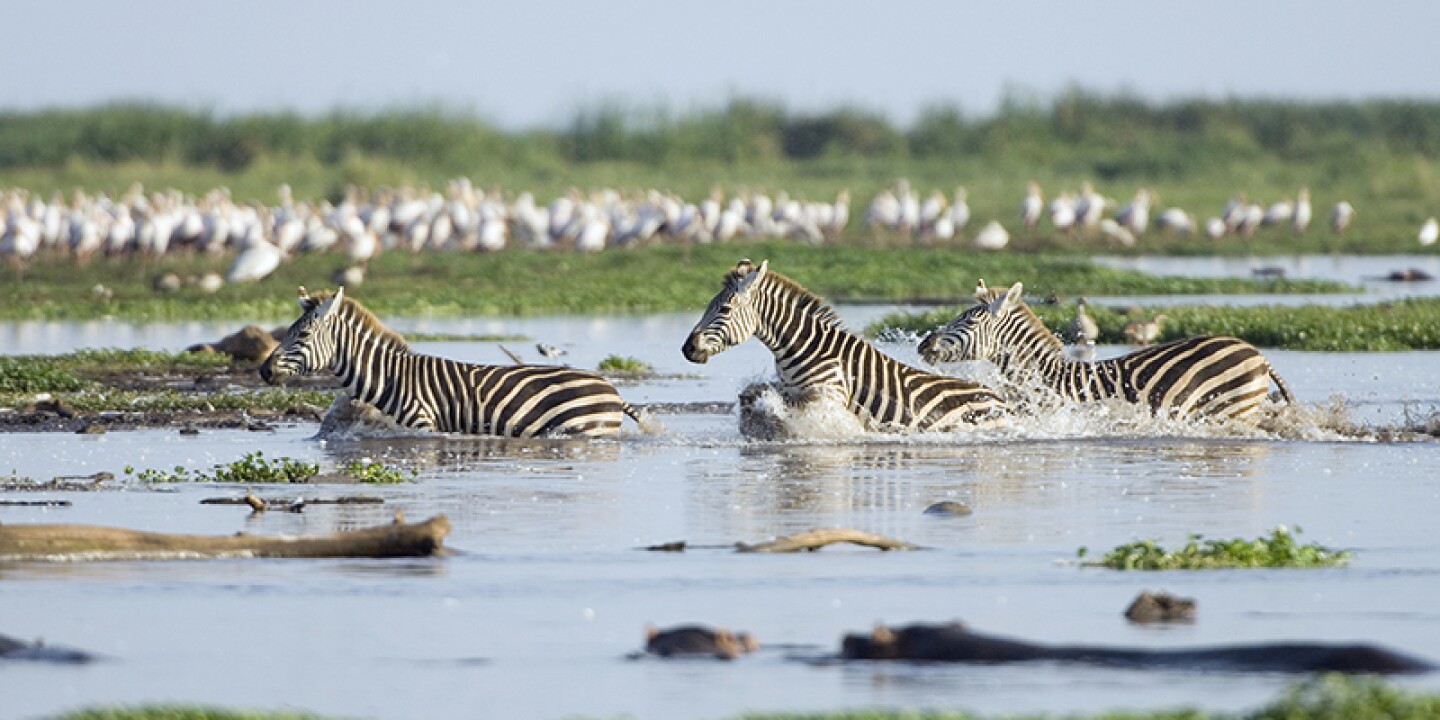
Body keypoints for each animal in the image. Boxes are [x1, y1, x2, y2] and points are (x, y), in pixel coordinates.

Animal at [259, 286, 642, 437]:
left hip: (587, 429)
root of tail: (613, 391)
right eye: (288, 332)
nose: (264, 370)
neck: (390, 377)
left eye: (302, 336)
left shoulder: (423, 424)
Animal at [682, 262, 1002, 434]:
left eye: (724, 309)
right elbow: (752, 394)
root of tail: (1000, 398)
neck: (801, 348)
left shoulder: (827, 396)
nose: (687, 349)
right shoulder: (790, 388)